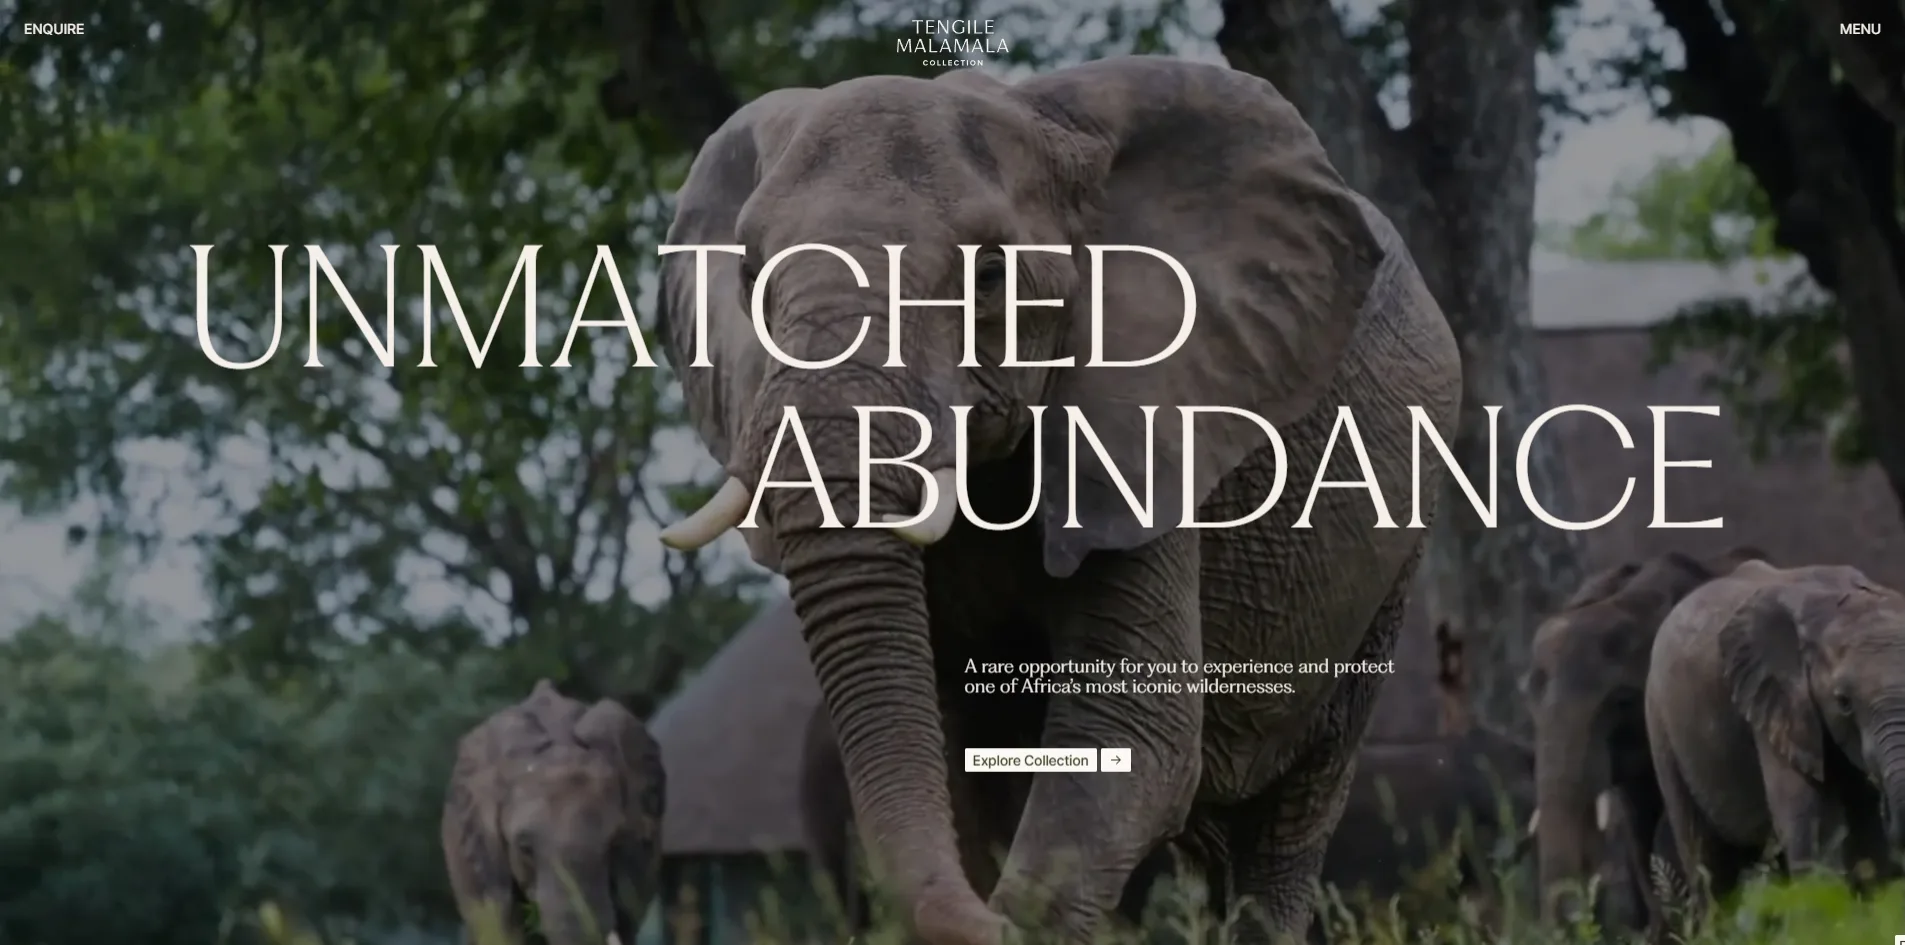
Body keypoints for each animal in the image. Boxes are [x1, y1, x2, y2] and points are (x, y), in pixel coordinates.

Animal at [650, 55, 1462, 945]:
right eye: (749, 278)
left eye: (989, 275)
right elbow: (951, 737)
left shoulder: (1154, 414)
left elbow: (1132, 730)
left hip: (1394, 556)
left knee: (1293, 810)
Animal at [1644, 560, 1905, 909]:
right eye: (1844, 702)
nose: (1888, 807)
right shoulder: (1773, 702)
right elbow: (1809, 821)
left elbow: (1865, 828)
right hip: (1661, 726)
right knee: (1706, 859)